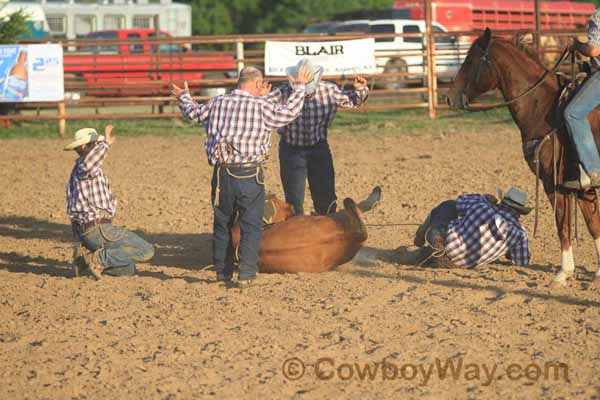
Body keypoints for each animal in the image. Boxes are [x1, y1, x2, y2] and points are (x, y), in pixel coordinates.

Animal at [448, 28, 600, 284]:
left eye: (470, 60)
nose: (450, 97)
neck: (544, 108)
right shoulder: (580, 186)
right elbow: (592, 223)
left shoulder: (552, 182)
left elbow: (562, 224)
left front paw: (563, 272)